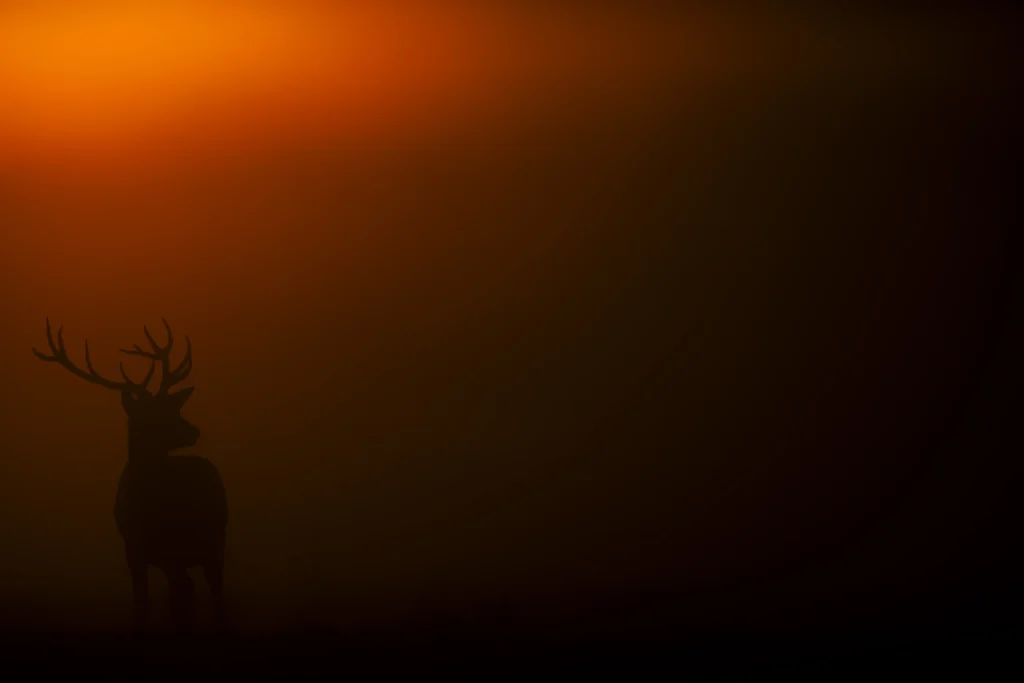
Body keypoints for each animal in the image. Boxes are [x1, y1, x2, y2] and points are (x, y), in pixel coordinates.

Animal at [33, 318, 227, 633]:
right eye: (153, 412)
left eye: (172, 406)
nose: (194, 431)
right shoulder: (135, 551)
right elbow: (141, 606)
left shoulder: (166, 550)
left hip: (213, 541)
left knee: (206, 594)